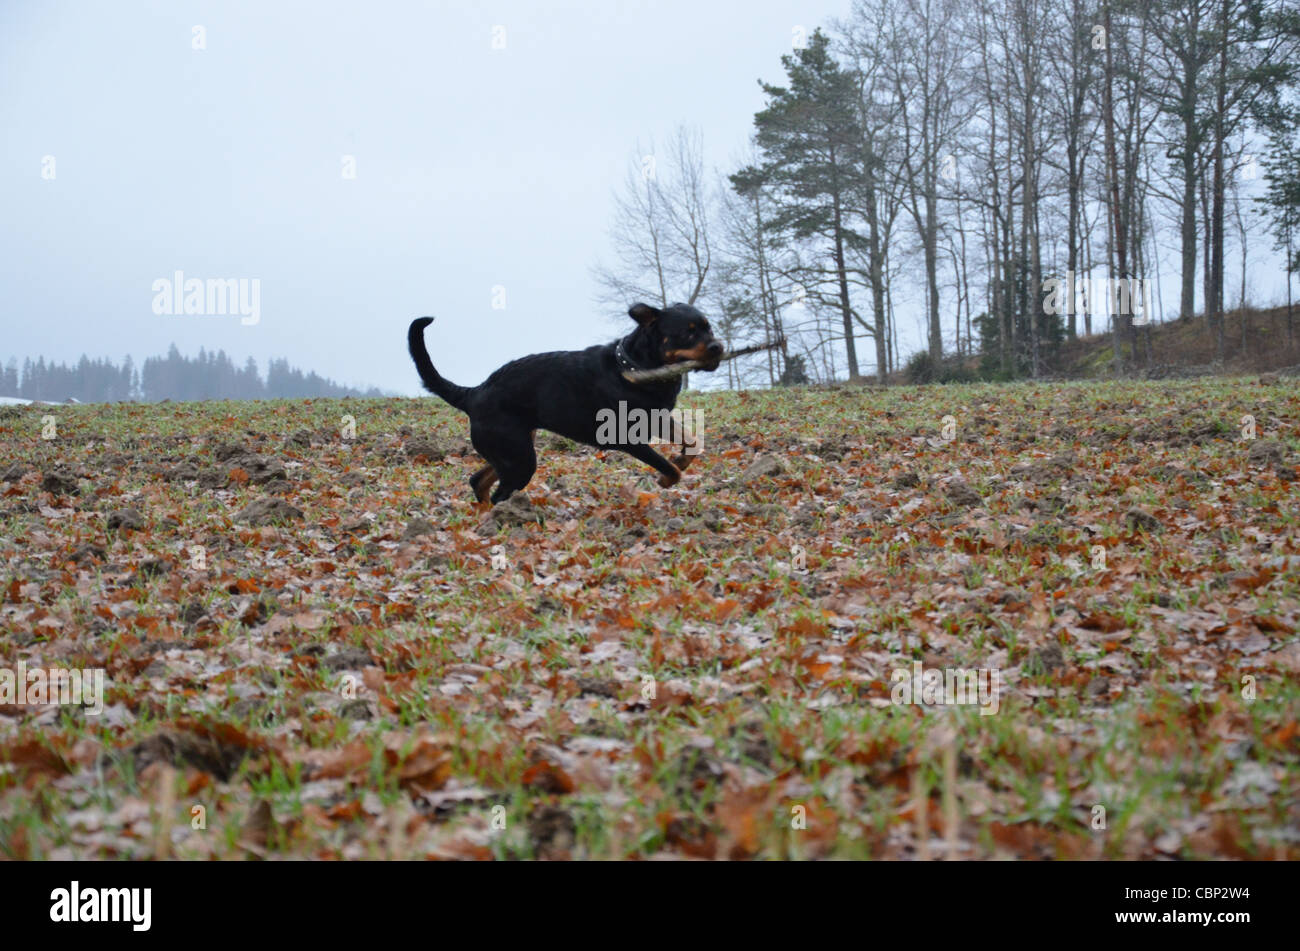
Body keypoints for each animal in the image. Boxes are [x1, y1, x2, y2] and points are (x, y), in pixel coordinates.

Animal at [408, 302, 722, 504]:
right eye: (689, 332)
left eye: (709, 328)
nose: (718, 346)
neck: (635, 367)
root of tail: (473, 393)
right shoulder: (627, 439)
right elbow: (669, 468)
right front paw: (667, 479)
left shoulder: (657, 418)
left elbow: (693, 440)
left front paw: (682, 457)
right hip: (519, 458)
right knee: (499, 494)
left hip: (512, 450)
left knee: (478, 481)